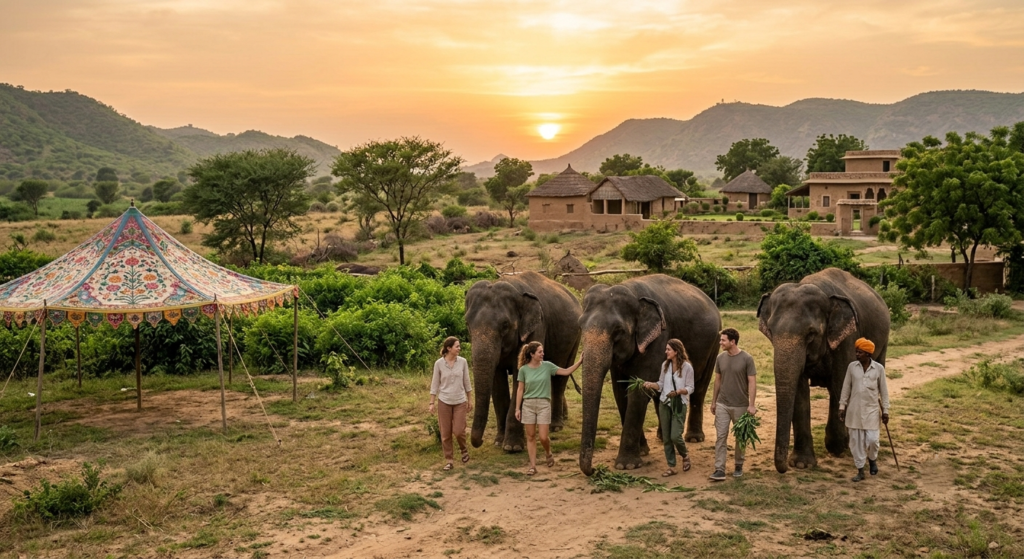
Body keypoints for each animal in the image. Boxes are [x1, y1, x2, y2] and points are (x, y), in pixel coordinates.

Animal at [465, 271, 582, 452]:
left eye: (505, 325)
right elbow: (498, 383)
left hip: (574, 337)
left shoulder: (537, 327)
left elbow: (519, 378)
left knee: (560, 375)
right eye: (467, 324)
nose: (481, 441)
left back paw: (555, 426)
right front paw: (499, 442)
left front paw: (512, 447)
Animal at [578, 274, 721, 475]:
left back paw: (694, 438)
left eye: (618, 331)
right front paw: (642, 452)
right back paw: (662, 436)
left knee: (699, 389)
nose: (594, 470)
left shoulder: (659, 338)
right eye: (579, 326)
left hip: (714, 344)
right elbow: (620, 392)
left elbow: (638, 392)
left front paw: (627, 465)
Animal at [757, 267, 890, 474]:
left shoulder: (847, 339)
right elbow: (800, 392)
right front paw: (802, 464)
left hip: (883, 342)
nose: (783, 468)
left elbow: (840, 384)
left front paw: (838, 447)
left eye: (811, 334)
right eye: (770, 331)